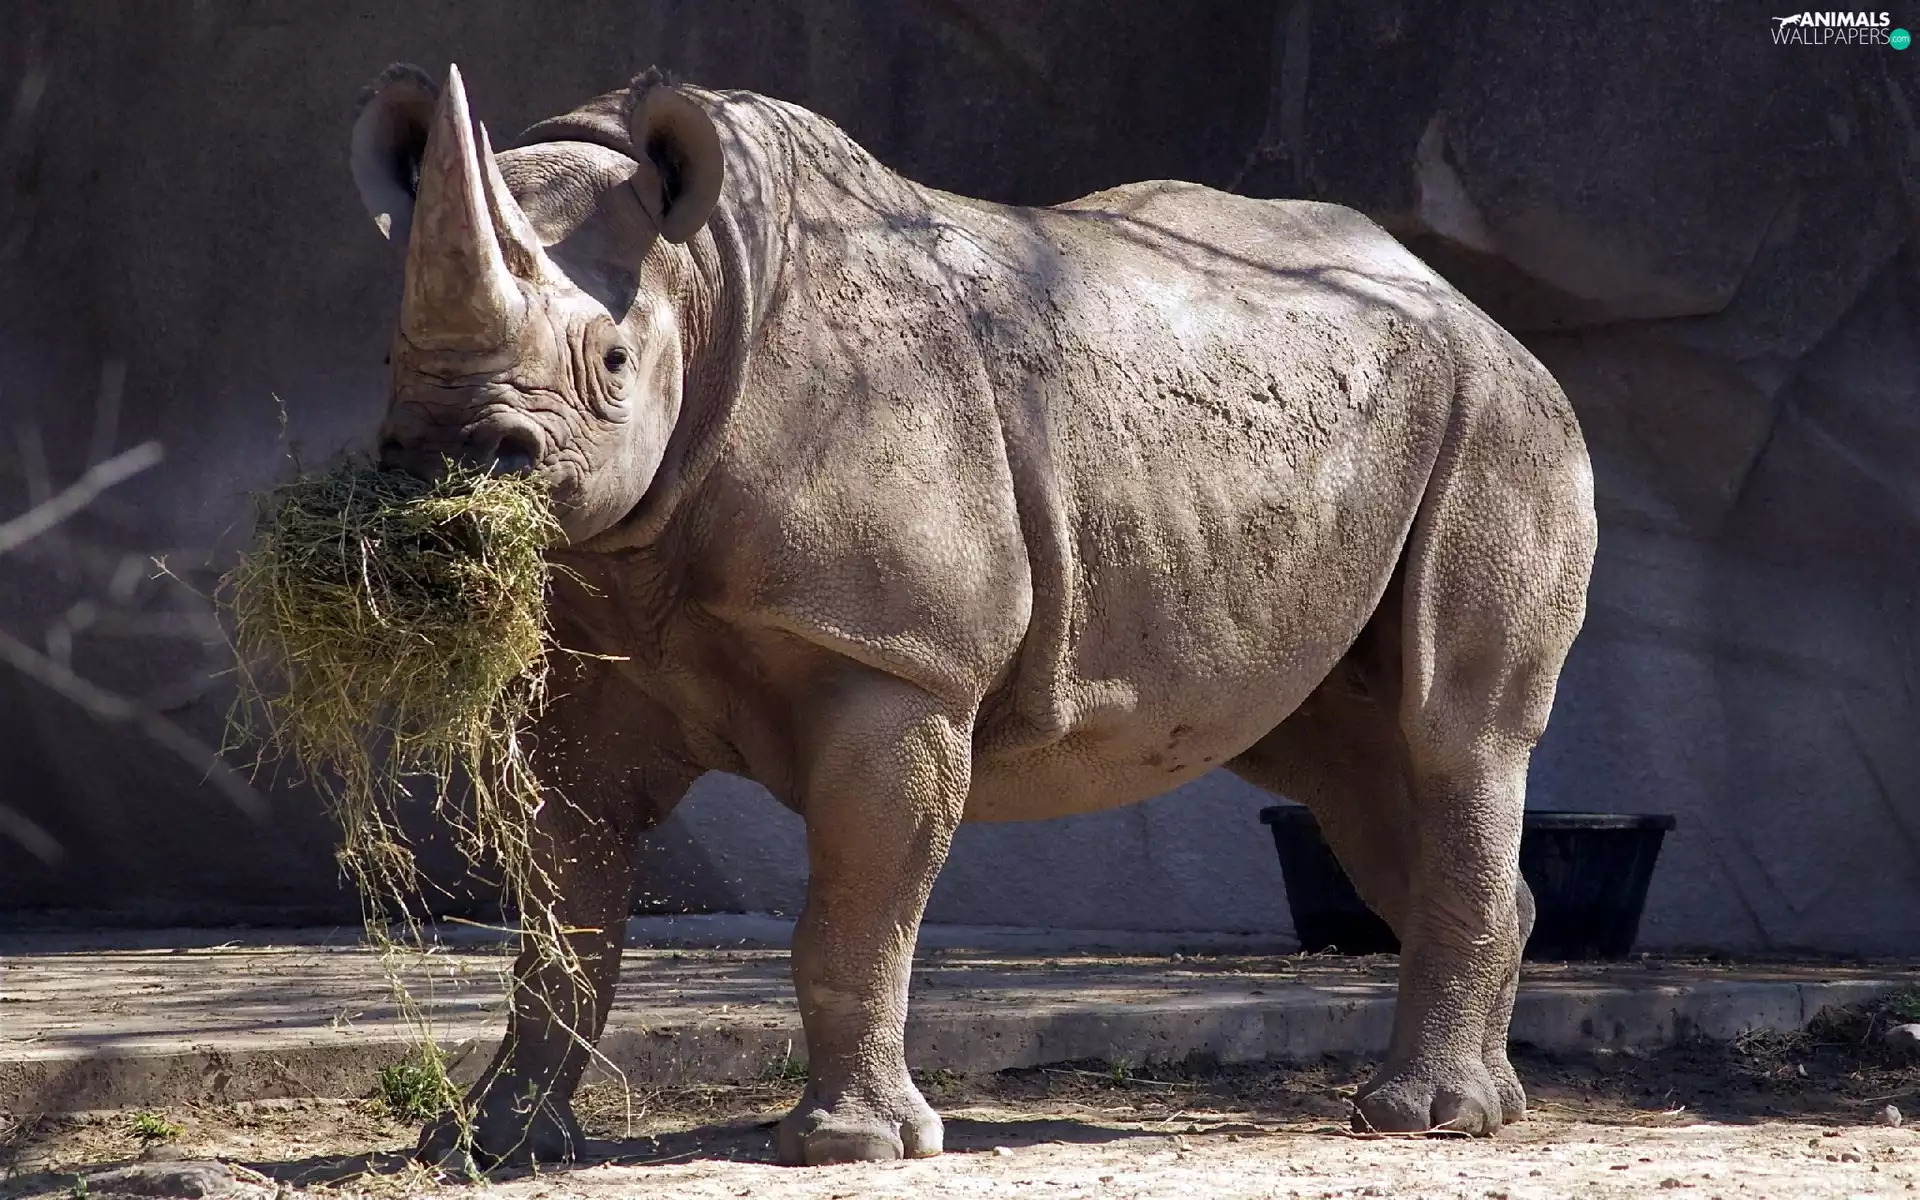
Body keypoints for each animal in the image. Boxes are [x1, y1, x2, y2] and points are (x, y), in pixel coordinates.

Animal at [348, 62, 1597, 1167]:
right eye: (388, 354)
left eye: (612, 362)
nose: (451, 460)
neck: (698, 281)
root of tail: (1471, 306)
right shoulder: (586, 666)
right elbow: (563, 925)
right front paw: (490, 1146)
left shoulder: (899, 662)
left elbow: (856, 914)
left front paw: (850, 1146)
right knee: (1347, 768)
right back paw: (1484, 1102)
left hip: (1503, 422)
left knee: (1457, 735)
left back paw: (1428, 1117)